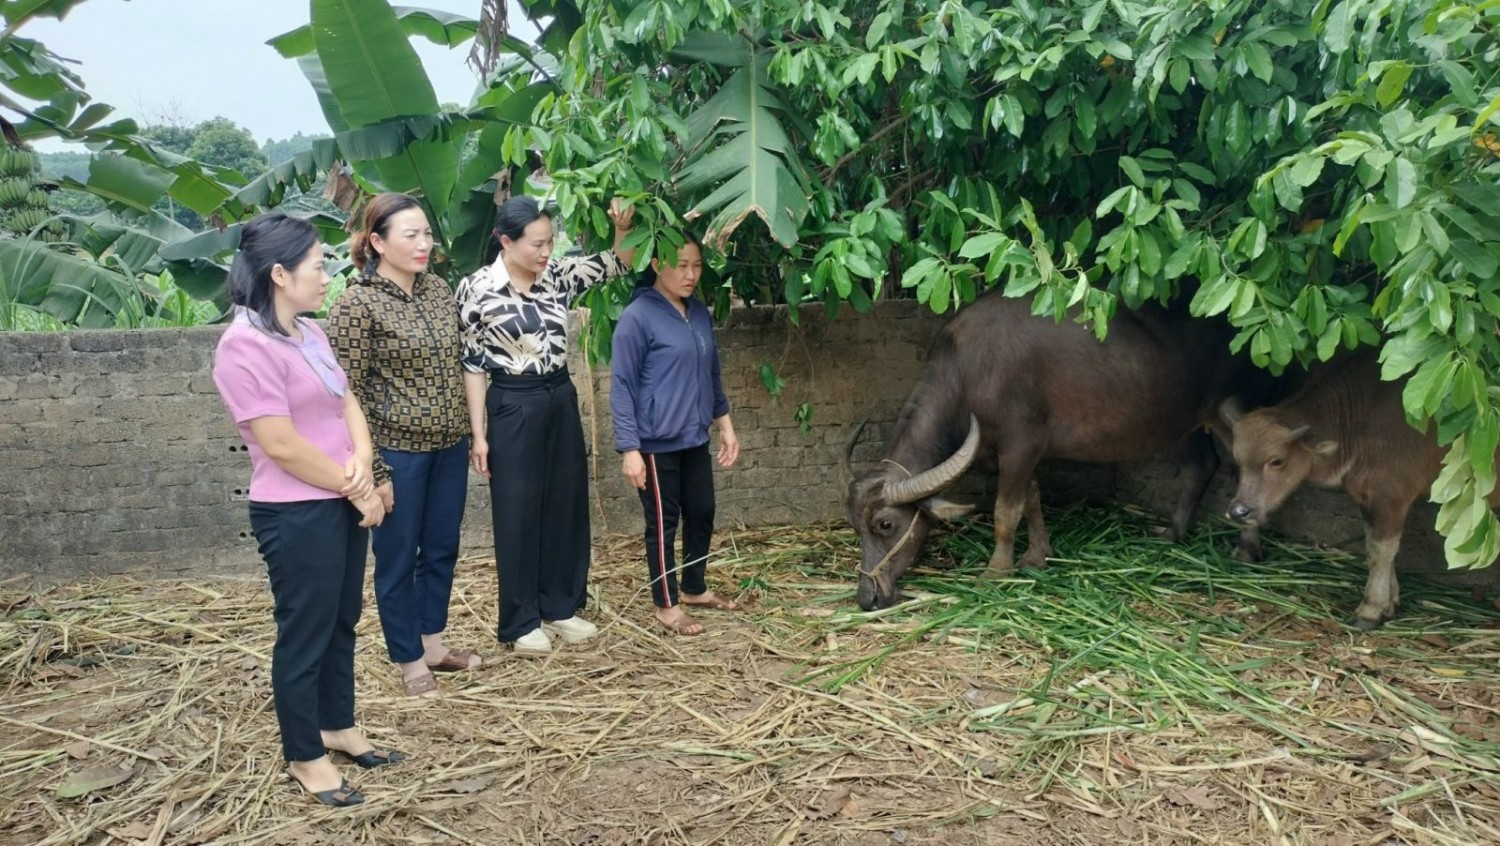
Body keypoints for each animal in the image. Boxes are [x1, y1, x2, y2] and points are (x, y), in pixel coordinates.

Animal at [846, 289, 1266, 609]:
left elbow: (1005, 512)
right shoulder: (1023, 453)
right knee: (1202, 464)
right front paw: (1037, 556)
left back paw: (1246, 547)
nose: (867, 597)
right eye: (854, 526)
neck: (967, 376)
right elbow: (1031, 500)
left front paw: (996, 571)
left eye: (885, 524)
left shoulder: (1020, 445)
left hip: (1229, 408)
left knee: (1253, 465)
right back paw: (1173, 532)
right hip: (1179, 421)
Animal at [1218, 348, 1500, 627]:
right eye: (1238, 458)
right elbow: (1374, 545)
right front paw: (1390, 602)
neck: (1356, 422)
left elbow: (1381, 551)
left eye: (1277, 460)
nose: (1240, 511)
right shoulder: (1369, 499)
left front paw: (1371, 610)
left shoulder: (1391, 495)